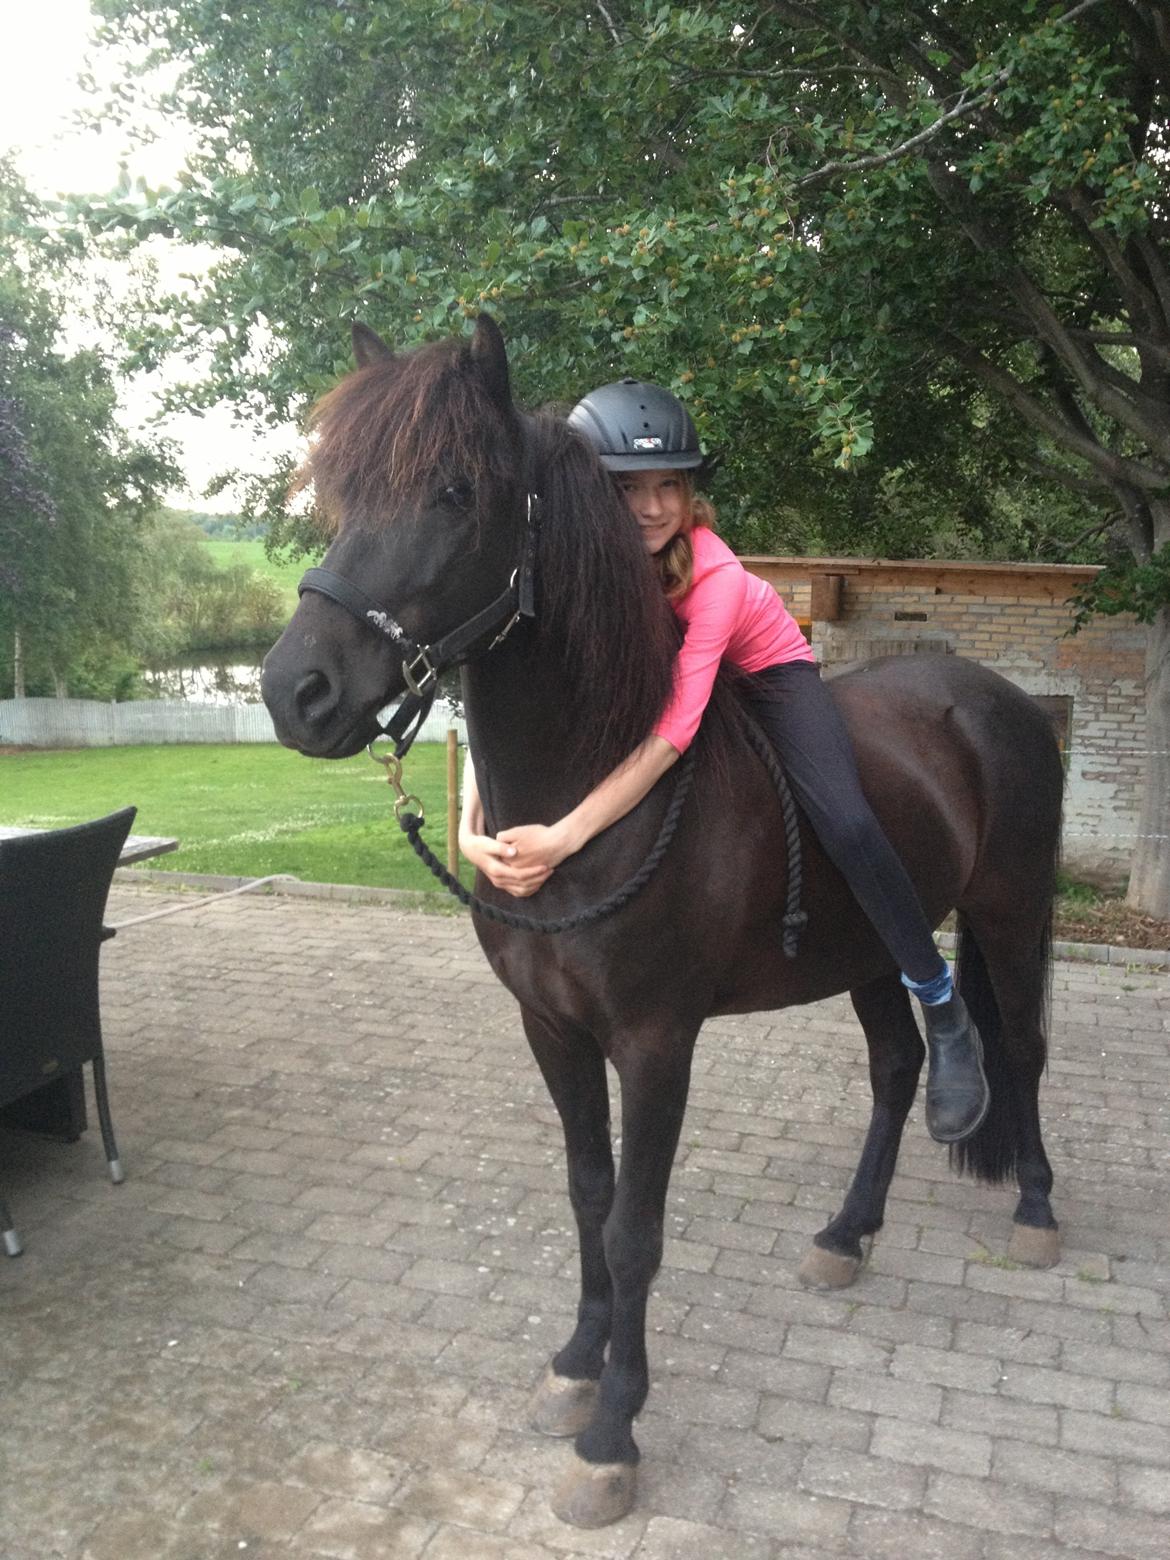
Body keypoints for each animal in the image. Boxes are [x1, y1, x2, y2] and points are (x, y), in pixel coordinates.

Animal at [260, 315, 1064, 1529]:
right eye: (342, 491)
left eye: (454, 491)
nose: (291, 692)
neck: (592, 802)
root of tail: (1000, 701)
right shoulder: (553, 1031)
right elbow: (588, 1196)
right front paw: (576, 1364)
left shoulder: (654, 1044)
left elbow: (635, 1228)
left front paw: (612, 1435)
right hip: (868, 949)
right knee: (894, 1068)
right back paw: (846, 1234)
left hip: (1008, 917)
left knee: (1017, 1047)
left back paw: (1036, 1212)